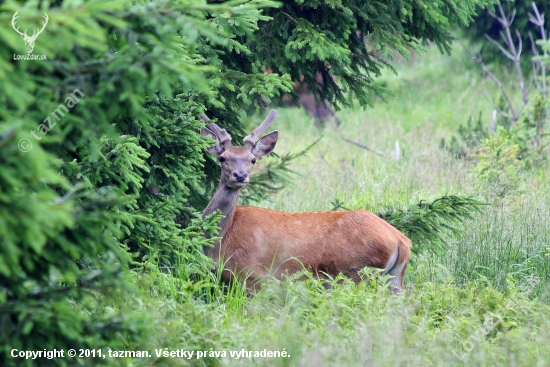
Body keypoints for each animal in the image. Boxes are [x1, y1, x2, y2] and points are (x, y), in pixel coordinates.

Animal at [201, 110, 412, 294]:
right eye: (222, 158)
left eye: (253, 159)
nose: (240, 176)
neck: (223, 238)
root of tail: (401, 241)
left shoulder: (252, 275)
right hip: (394, 280)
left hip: (355, 274)